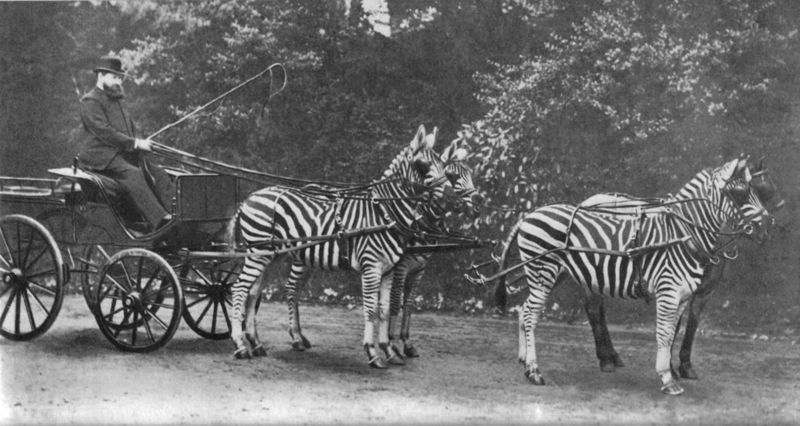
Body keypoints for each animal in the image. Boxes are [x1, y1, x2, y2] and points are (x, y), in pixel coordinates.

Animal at [228, 125, 456, 368]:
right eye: (422, 164)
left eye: (443, 165)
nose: (450, 197)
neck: (384, 213)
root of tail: (250, 198)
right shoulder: (371, 267)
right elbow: (370, 310)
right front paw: (373, 352)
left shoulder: (390, 270)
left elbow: (384, 310)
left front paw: (389, 351)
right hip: (258, 253)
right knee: (240, 289)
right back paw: (240, 345)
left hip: (271, 255)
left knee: (254, 292)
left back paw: (256, 343)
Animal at [500, 158, 768, 394]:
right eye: (740, 194)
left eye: (762, 192)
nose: (766, 228)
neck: (684, 233)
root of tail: (529, 214)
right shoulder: (669, 292)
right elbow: (664, 334)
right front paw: (667, 379)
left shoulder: (685, 295)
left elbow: (674, 332)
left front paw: (673, 370)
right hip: (543, 272)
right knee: (534, 313)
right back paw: (535, 370)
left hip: (557, 274)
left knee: (524, 308)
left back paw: (525, 359)